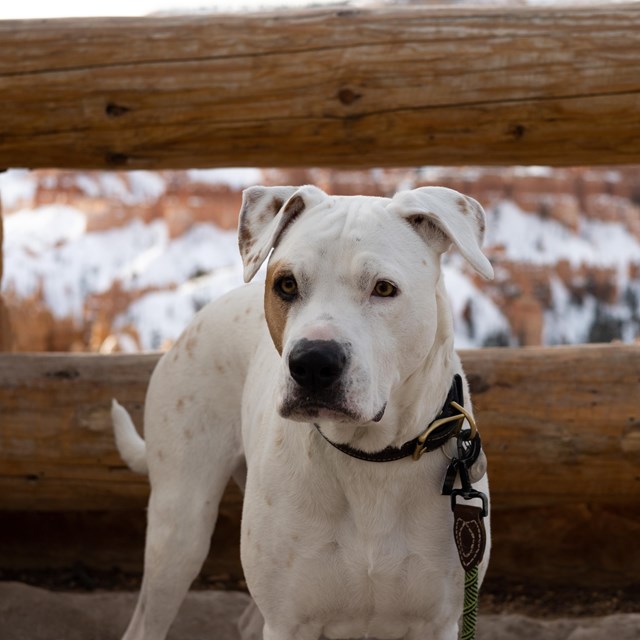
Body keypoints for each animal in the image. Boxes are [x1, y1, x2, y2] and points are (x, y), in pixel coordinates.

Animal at [112, 182, 496, 636]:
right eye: (286, 285)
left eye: (384, 289)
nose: (313, 362)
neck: (370, 459)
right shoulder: (289, 621)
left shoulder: (438, 622)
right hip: (179, 528)